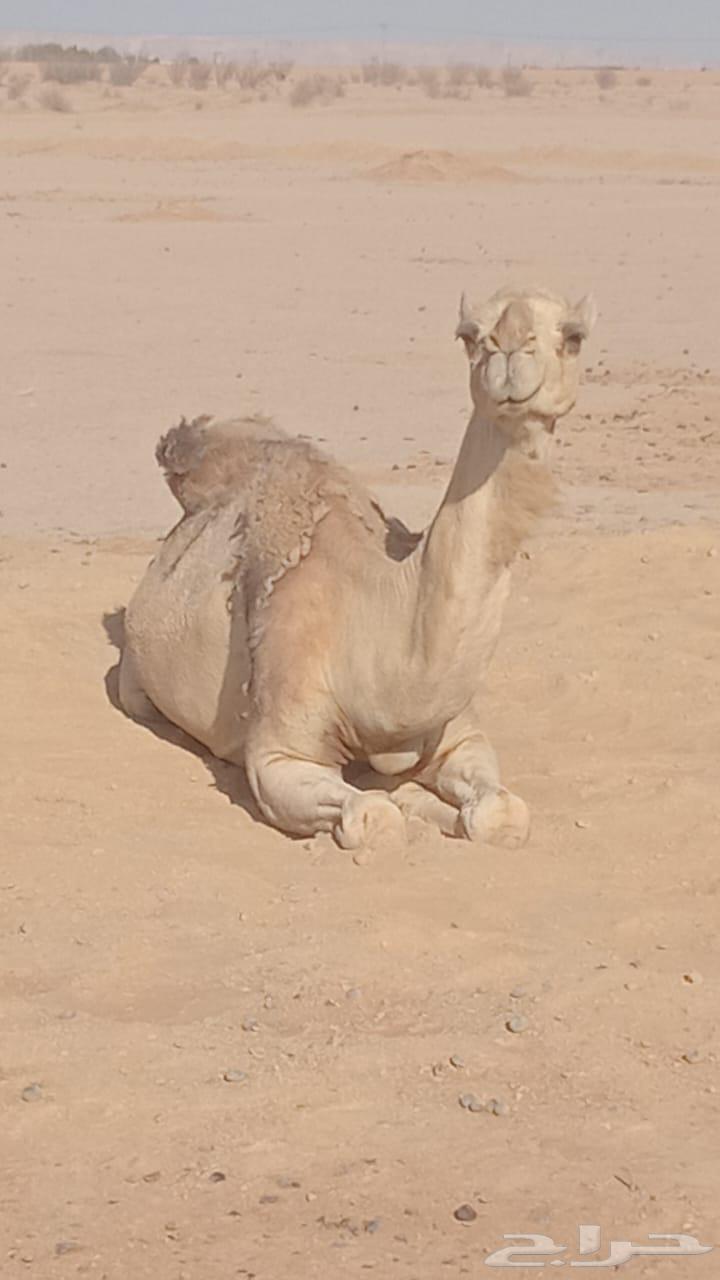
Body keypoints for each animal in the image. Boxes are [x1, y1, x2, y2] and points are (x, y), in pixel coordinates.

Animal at [119, 286, 596, 850]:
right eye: (469, 336)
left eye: (573, 337)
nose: (509, 350)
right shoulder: (280, 751)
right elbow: (373, 818)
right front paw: (403, 806)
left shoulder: (461, 734)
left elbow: (502, 811)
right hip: (134, 681)